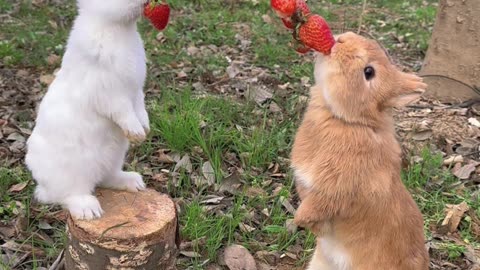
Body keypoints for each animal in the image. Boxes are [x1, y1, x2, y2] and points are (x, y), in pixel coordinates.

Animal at [23, 0, 150, 219]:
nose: (147, 2)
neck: (116, 28)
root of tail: (42, 184)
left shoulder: (136, 92)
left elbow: (140, 108)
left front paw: (145, 128)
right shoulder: (110, 94)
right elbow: (124, 112)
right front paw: (136, 133)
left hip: (114, 157)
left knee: (107, 178)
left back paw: (134, 182)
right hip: (74, 172)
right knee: (66, 195)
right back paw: (89, 210)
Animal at [290, 32, 430, 270]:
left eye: (369, 72)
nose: (342, 39)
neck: (351, 121)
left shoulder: (334, 192)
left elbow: (314, 210)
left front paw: (299, 222)